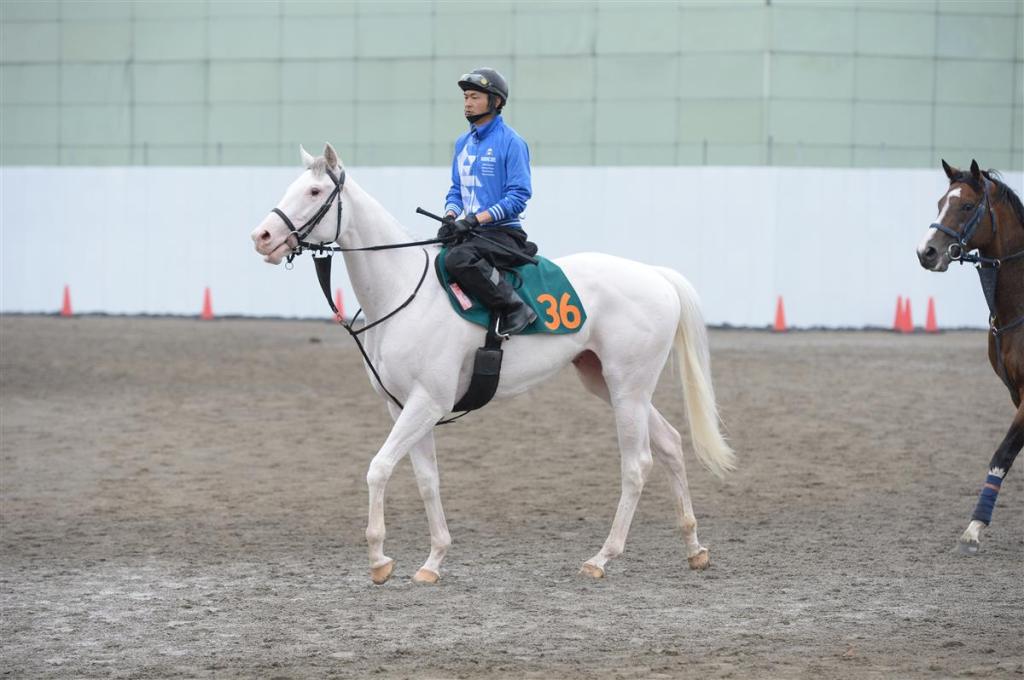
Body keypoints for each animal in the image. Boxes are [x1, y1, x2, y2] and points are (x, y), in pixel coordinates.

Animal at [250, 144, 735, 584]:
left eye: (315, 191)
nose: (263, 238)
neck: (404, 291)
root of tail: (656, 275)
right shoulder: (403, 405)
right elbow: (427, 480)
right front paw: (432, 561)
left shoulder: (427, 403)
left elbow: (379, 468)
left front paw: (379, 560)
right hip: (608, 384)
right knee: (670, 443)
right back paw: (694, 548)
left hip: (628, 387)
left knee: (637, 465)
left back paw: (602, 558)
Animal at [916, 159, 1024, 554]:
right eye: (939, 203)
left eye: (965, 206)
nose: (926, 252)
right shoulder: (1015, 393)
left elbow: (1002, 454)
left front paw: (974, 528)